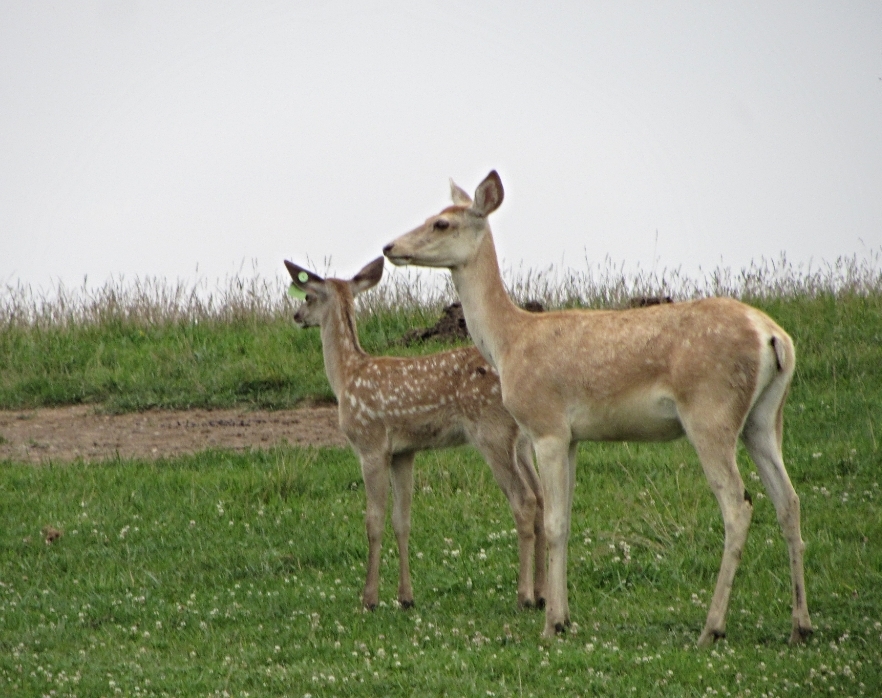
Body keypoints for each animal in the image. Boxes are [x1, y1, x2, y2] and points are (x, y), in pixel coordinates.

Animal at [284, 256, 546, 612]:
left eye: (309, 296)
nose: (297, 316)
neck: (346, 376)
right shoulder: (403, 452)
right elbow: (402, 520)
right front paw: (405, 597)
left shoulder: (370, 444)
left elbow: (374, 520)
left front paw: (370, 598)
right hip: (521, 442)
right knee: (542, 498)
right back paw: (543, 593)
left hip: (491, 432)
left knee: (524, 499)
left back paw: (524, 596)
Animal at [383, 171, 813, 647]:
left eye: (442, 223)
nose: (389, 247)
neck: (507, 342)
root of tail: (774, 337)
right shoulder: (572, 438)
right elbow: (568, 521)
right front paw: (565, 617)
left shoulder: (547, 426)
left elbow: (553, 522)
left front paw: (551, 624)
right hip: (764, 417)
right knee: (788, 500)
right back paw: (800, 625)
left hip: (710, 412)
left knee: (738, 506)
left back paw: (712, 628)